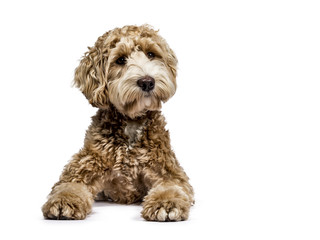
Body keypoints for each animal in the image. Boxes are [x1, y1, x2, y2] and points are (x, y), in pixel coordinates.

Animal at [41, 24, 194, 221]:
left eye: (151, 54)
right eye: (120, 60)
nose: (147, 82)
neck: (131, 121)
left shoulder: (169, 171)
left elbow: (172, 186)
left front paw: (166, 204)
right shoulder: (83, 166)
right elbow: (67, 185)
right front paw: (64, 201)